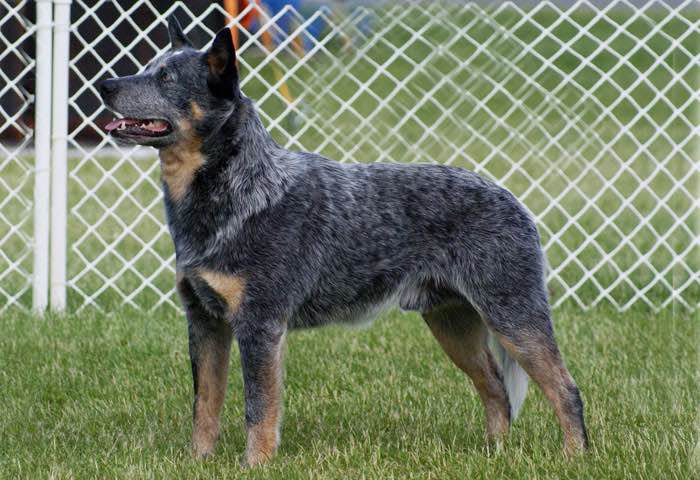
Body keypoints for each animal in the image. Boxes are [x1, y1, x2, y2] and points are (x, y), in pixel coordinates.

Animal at [98, 15, 588, 468]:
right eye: (148, 66)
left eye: (166, 78)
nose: (105, 83)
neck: (238, 192)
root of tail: (514, 199)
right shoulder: (204, 320)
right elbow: (205, 404)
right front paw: (199, 461)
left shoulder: (259, 324)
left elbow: (258, 408)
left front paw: (254, 465)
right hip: (453, 323)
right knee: (496, 389)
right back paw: (494, 454)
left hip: (513, 316)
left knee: (566, 388)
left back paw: (575, 456)